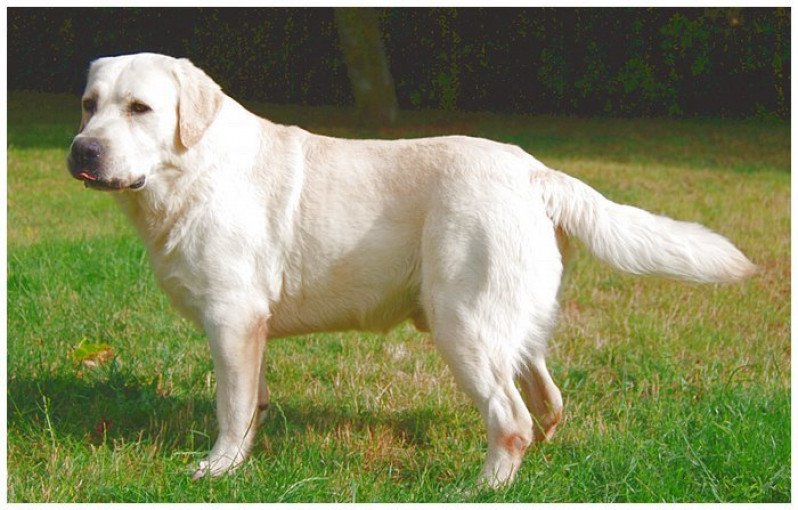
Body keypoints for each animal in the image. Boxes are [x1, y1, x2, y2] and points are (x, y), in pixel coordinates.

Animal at [69, 53, 756, 488]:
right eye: (88, 105)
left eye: (140, 108)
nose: (82, 150)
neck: (191, 170)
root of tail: (534, 170)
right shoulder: (249, 329)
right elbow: (253, 400)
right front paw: (243, 456)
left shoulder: (233, 317)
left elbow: (230, 406)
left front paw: (219, 470)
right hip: (505, 322)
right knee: (548, 400)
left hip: (464, 324)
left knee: (511, 419)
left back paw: (480, 488)